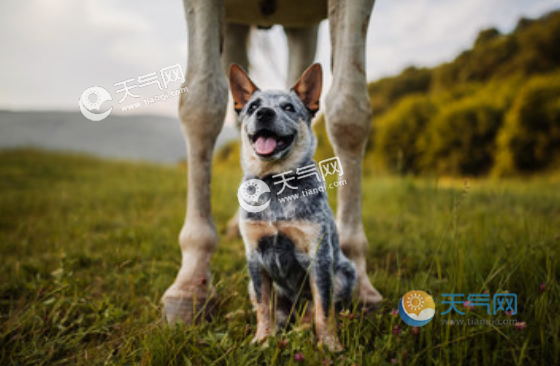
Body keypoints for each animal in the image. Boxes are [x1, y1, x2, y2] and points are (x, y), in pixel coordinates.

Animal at [229, 63, 356, 352]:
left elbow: (324, 309)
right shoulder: (255, 257)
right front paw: (263, 340)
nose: (264, 113)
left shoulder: (319, 257)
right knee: (270, 309)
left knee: (313, 311)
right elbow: (263, 306)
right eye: (253, 106)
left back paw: (300, 331)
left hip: (344, 273)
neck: (275, 183)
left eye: (288, 107)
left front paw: (330, 345)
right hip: (253, 284)